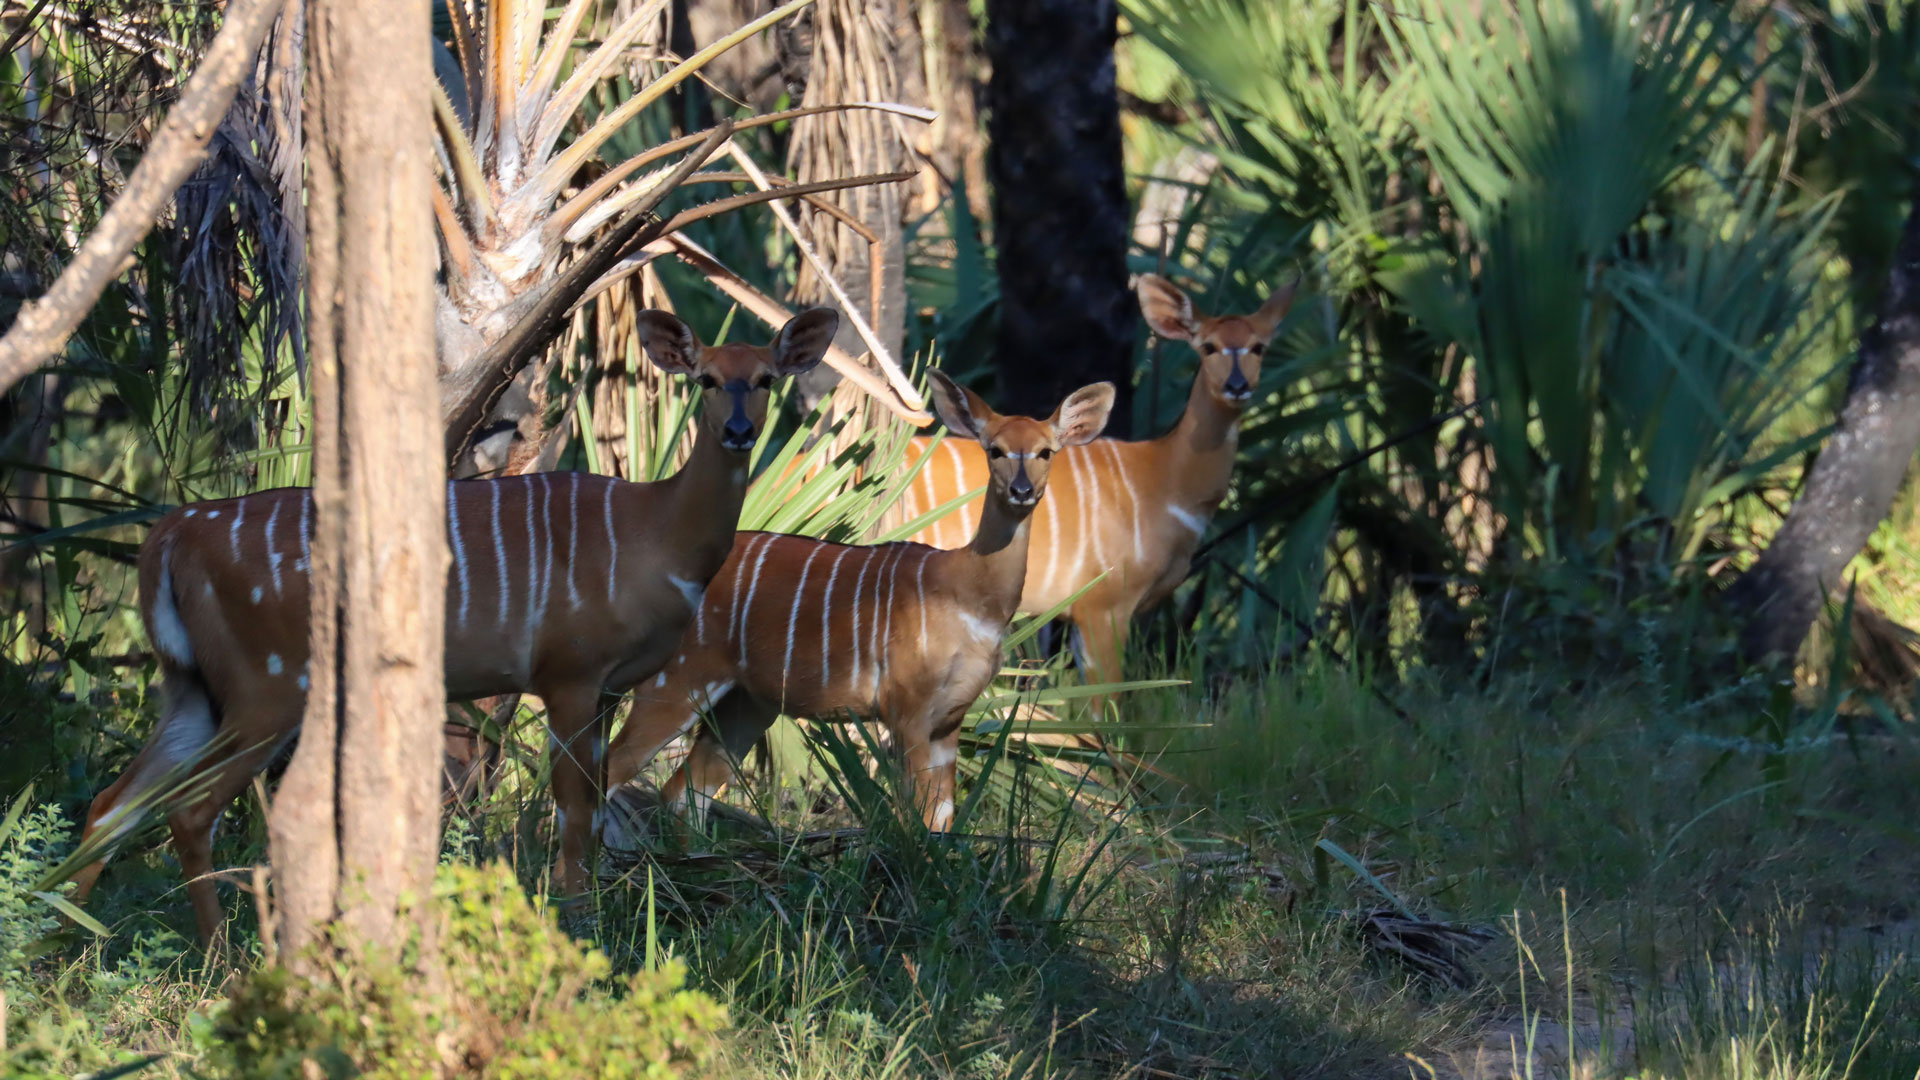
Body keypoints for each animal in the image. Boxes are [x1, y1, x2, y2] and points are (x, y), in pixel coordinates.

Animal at [71, 305, 837, 941]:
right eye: (705, 379)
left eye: (765, 378)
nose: (739, 431)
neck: (656, 535)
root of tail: (169, 537)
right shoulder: (568, 673)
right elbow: (574, 808)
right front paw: (577, 922)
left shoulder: (610, 685)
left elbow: (593, 800)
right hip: (268, 687)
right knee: (188, 809)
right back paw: (219, 955)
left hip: (193, 687)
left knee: (112, 801)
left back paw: (72, 938)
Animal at [599, 368, 1113, 822]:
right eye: (995, 450)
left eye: (1046, 451)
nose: (1022, 490)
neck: (969, 595)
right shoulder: (906, 708)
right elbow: (917, 820)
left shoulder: (951, 719)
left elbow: (943, 820)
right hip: (676, 680)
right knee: (611, 767)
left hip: (748, 702)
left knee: (683, 790)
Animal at [879, 272, 1297, 703]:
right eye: (1209, 346)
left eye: (1259, 346)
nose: (1237, 385)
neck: (1164, 481)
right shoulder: (1104, 603)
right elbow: (1107, 702)